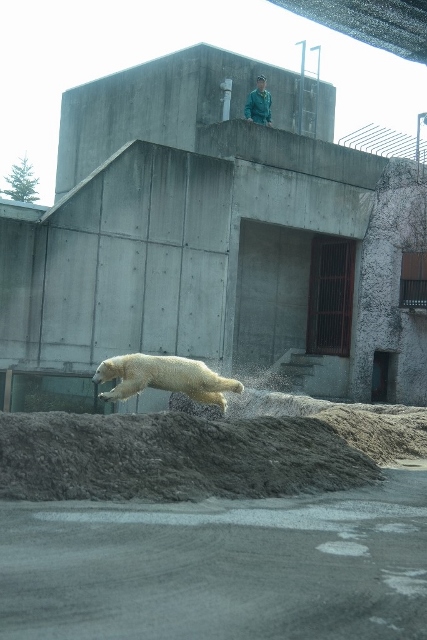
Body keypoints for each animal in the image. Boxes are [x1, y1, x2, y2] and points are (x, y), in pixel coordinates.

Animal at [92, 352, 244, 412]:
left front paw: (106, 395)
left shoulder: (139, 368)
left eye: (98, 371)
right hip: (190, 384)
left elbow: (132, 385)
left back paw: (238, 387)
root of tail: (202, 364)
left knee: (212, 382)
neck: (127, 361)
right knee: (201, 394)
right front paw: (104, 396)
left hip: (194, 373)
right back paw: (222, 403)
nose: (93, 380)